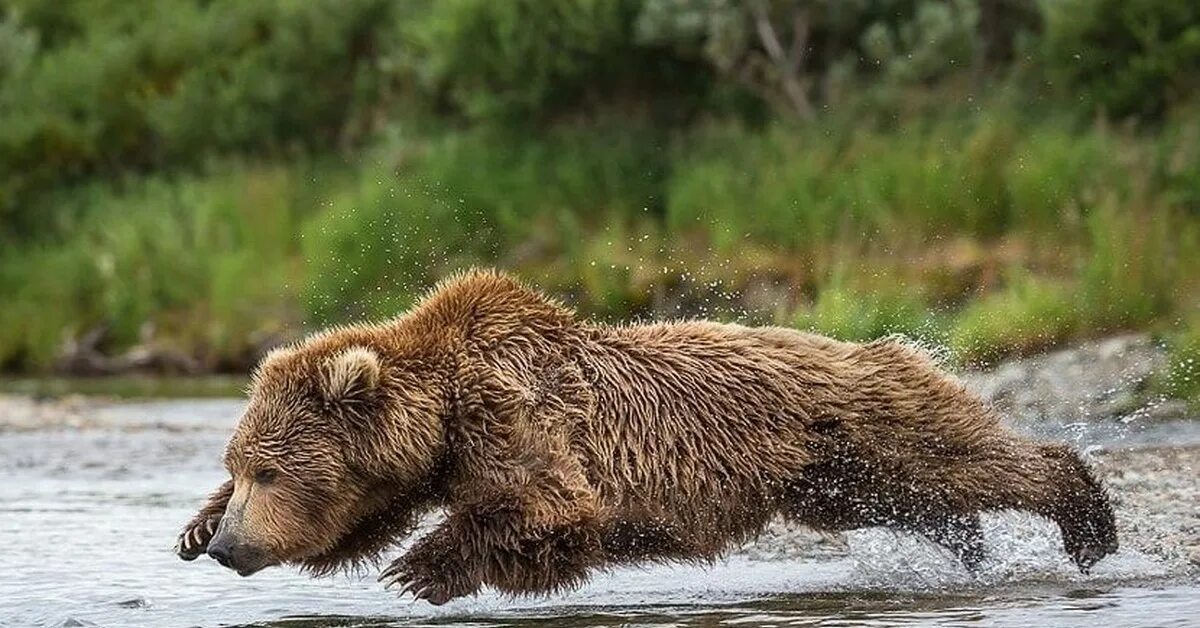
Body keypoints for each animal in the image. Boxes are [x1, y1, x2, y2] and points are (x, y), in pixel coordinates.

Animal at [175, 268, 1113, 605]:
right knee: (914, 499)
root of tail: (894, 343)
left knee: (968, 460)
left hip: (869, 416)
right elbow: (359, 521)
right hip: (831, 472)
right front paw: (190, 524)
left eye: (268, 470)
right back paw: (969, 546)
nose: (227, 547)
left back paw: (1087, 522)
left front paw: (421, 570)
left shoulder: (516, 414)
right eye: (239, 464)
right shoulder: (415, 467)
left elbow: (552, 507)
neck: (442, 419)